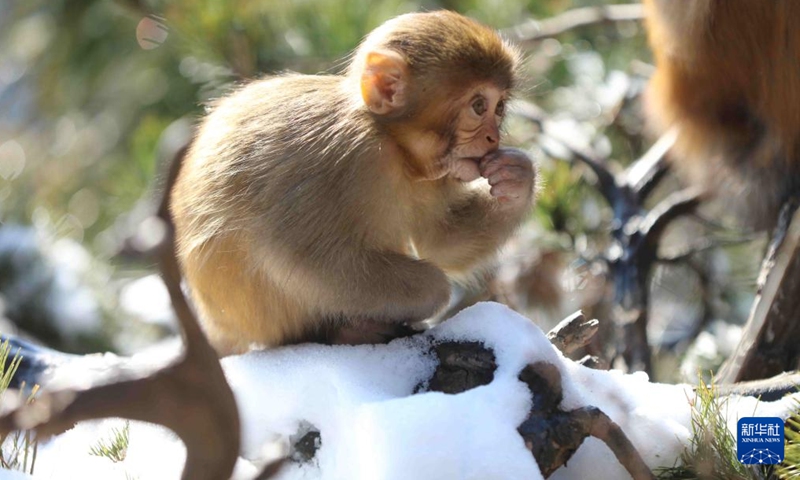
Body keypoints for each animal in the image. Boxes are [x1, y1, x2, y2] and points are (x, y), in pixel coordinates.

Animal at [169, 11, 536, 355]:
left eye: (499, 107)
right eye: (479, 106)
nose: (492, 137)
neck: (392, 144)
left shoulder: (429, 176)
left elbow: (440, 241)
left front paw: (516, 179)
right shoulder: (344, 155)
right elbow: (295, 255)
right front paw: (433, 289)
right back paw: (342, 331)